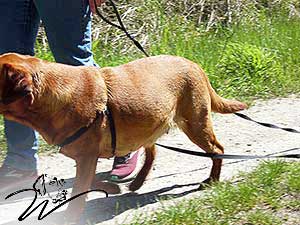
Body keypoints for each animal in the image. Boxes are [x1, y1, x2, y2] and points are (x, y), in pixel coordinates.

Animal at [0, 52, 246, 218]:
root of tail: (193, 64)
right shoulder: (85, 157)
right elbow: (89, 181)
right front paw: (111, 187)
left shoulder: (87, 156)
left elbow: (79, 189)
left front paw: (72, 214)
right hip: (148, 124)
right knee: (152, 151)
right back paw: (137, 181)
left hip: (195, 124)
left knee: (217, 150)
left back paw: (212, 179)